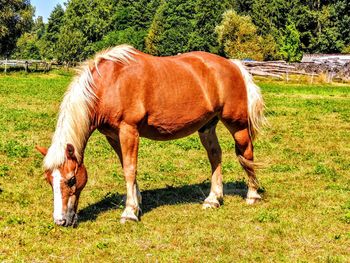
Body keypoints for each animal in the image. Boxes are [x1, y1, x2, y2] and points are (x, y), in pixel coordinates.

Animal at [36, 44, 266, 227]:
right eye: (49, 180)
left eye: (72, 179)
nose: (61, 221)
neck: (110, 83)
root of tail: (233, 65)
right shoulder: (113, 136)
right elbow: (126, 166)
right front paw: (136, 203)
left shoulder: (129, 131)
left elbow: (130, 169)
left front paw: (129, 212)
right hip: (207, 126)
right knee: (215, 156)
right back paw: (213, 199)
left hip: (237, 126)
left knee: (247, 154)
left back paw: (252, 195)